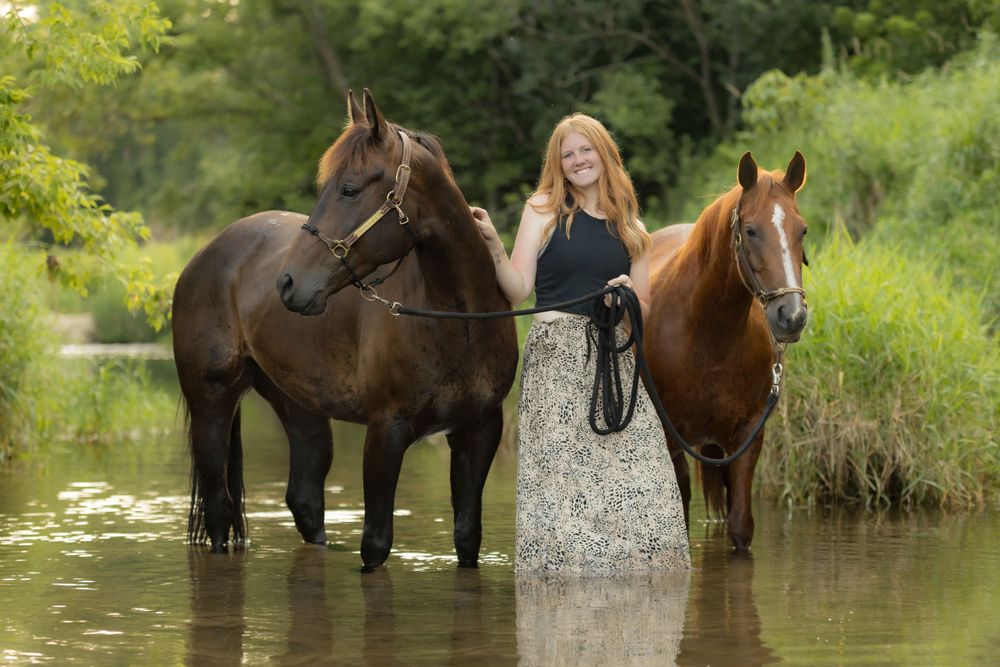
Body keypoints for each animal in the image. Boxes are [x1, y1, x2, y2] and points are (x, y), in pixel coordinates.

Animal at [172, 89, 519, 571]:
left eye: (349, 189)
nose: (288, 283)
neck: (458, 319)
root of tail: (208, 252)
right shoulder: (386, 431)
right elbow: (375, 542)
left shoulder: (480, 430)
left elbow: (468, 536)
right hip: (211, 402)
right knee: (220, 508)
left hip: (300, 408)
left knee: (304, 501)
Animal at [645, 151, 808, 552]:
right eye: (750, 231)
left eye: (802, 230)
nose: (792, 316)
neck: (708, 335)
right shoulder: (671, 436)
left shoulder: (747, 437)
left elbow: (740, 526)